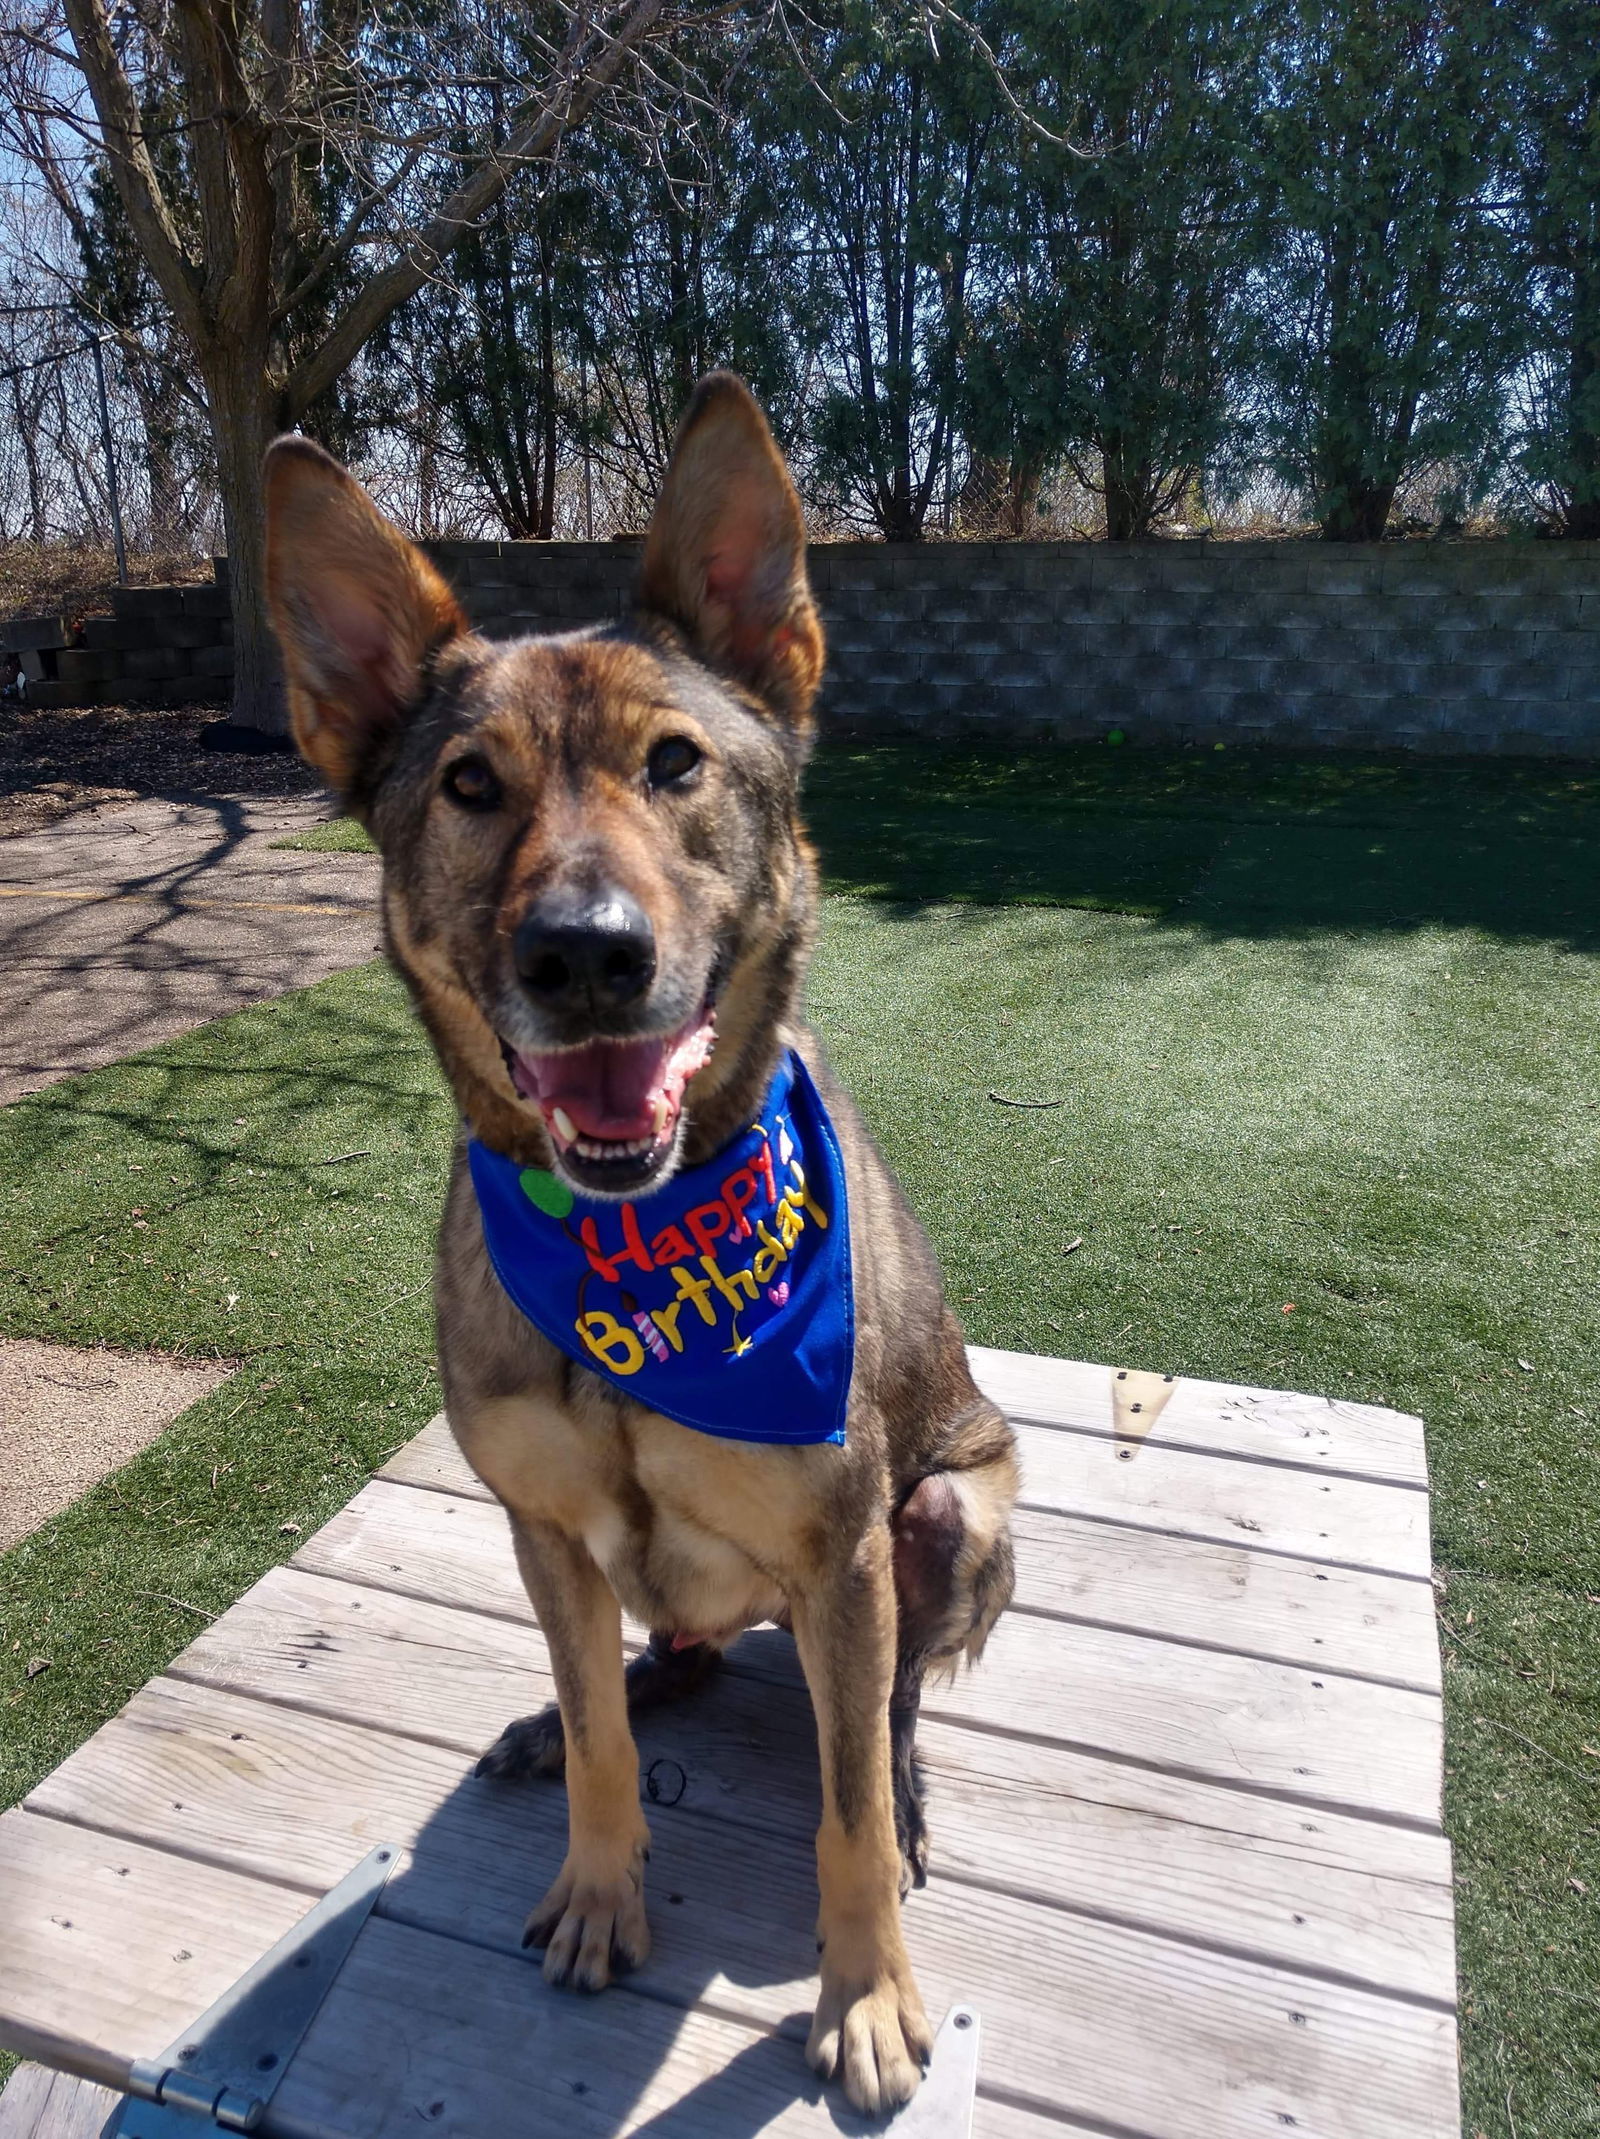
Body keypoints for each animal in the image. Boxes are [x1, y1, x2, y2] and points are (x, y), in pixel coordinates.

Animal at [260, 376, 1013, 2113]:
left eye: (676, 763)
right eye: (469, 784)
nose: (586, 956)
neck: (641, 1250)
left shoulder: (847, 1540)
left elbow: (843, 1808)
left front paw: (868, 1989)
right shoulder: (536, 1517)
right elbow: (610, 1732)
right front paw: (602, 1880)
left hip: (955, 1508)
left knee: (882, 1708)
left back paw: (900, 1782)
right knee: (647, 1658)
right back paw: (561, 1713)